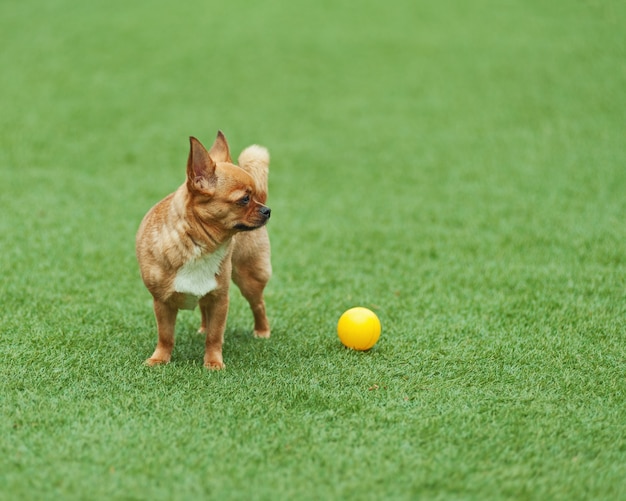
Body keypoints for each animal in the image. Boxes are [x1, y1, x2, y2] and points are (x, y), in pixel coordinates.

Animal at [136, 131, 270, 370]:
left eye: (254, 196)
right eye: (244, 199)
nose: (267, 210)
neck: (200, 245)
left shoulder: (220, 299)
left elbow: (215, 336)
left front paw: (213, 362)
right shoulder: (162, 303)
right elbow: (165, 335)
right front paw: (159, 359)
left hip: (249, 278)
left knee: (258, 305)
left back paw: (262, 332)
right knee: (204, 309)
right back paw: (203, 328)